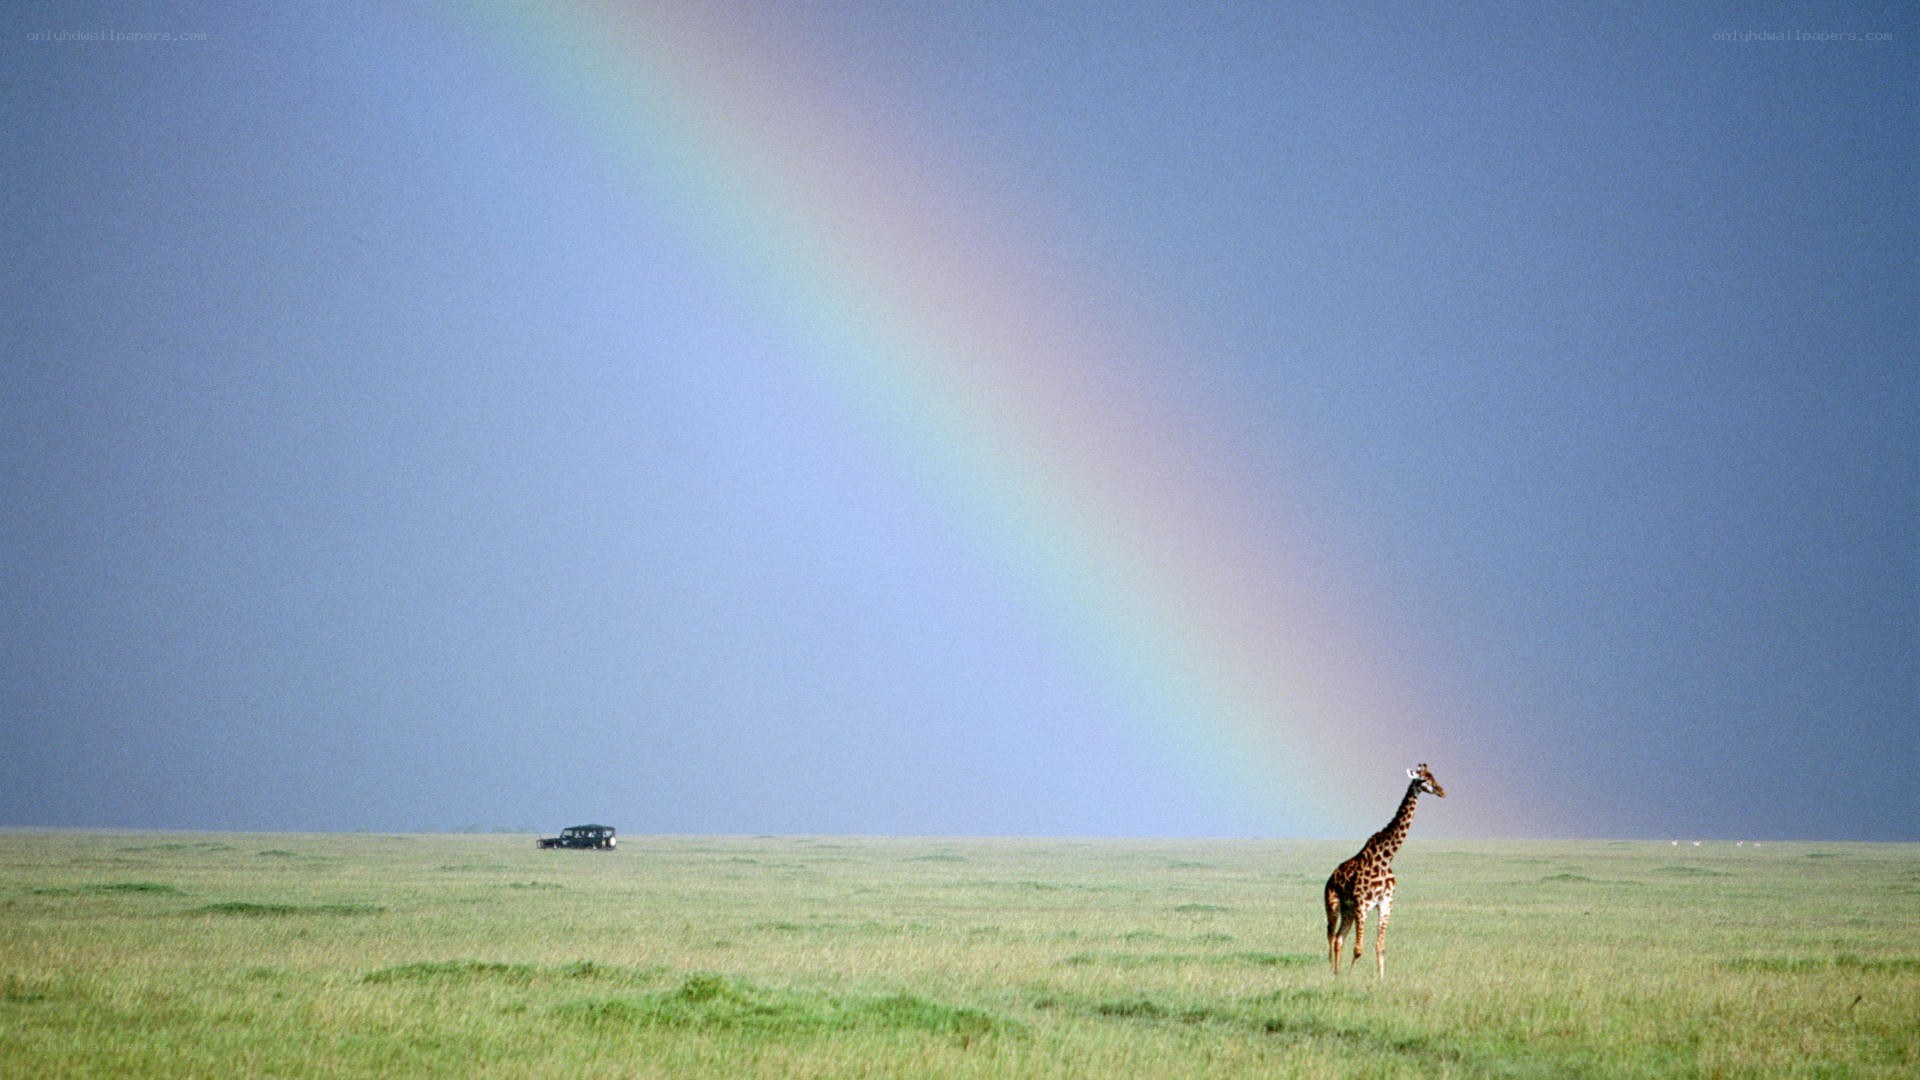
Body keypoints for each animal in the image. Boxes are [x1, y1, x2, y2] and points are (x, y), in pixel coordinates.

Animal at [1323, 763, 1445, 977]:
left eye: (1434, 776)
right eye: (1423, 779)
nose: (1442, 791)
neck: (1386, 857)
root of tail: (1330, 878)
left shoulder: (1386, 903)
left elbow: (1380, 946)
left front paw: (1381, 979)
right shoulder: (1362, 905)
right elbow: (1358, 949)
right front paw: (1351, 976)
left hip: (1347, 909)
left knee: (1339, 939)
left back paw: (1337, 973)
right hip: (1334, 904)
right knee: (1330, 935)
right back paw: (1332, 971)